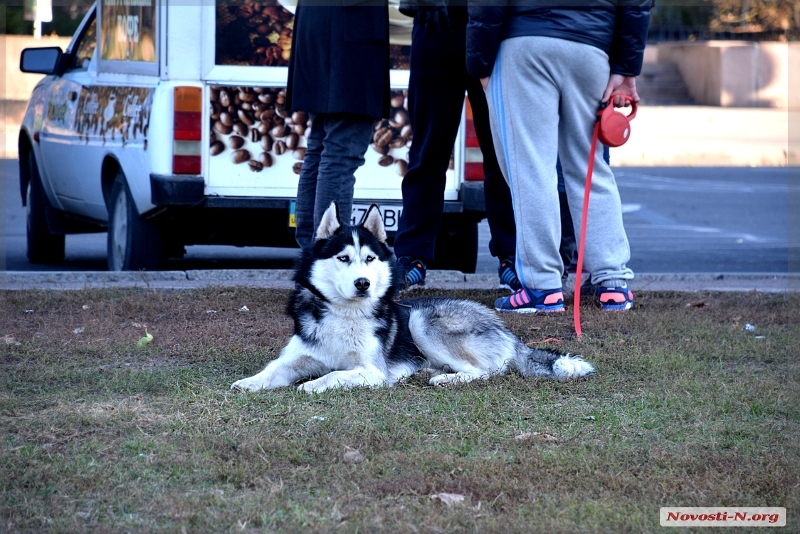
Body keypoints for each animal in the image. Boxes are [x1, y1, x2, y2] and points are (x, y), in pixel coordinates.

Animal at [231, 203, 592, 396]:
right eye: (344, 258)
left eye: (369, 259)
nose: (363, 284)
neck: (344, 315)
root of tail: (506, 330)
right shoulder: (295, 358)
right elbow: (272, 369)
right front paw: (248, 382)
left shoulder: (372, 372)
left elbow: (334, 374)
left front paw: (314, 384)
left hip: (422, 322)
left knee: (486, 371)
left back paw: (445, 377)